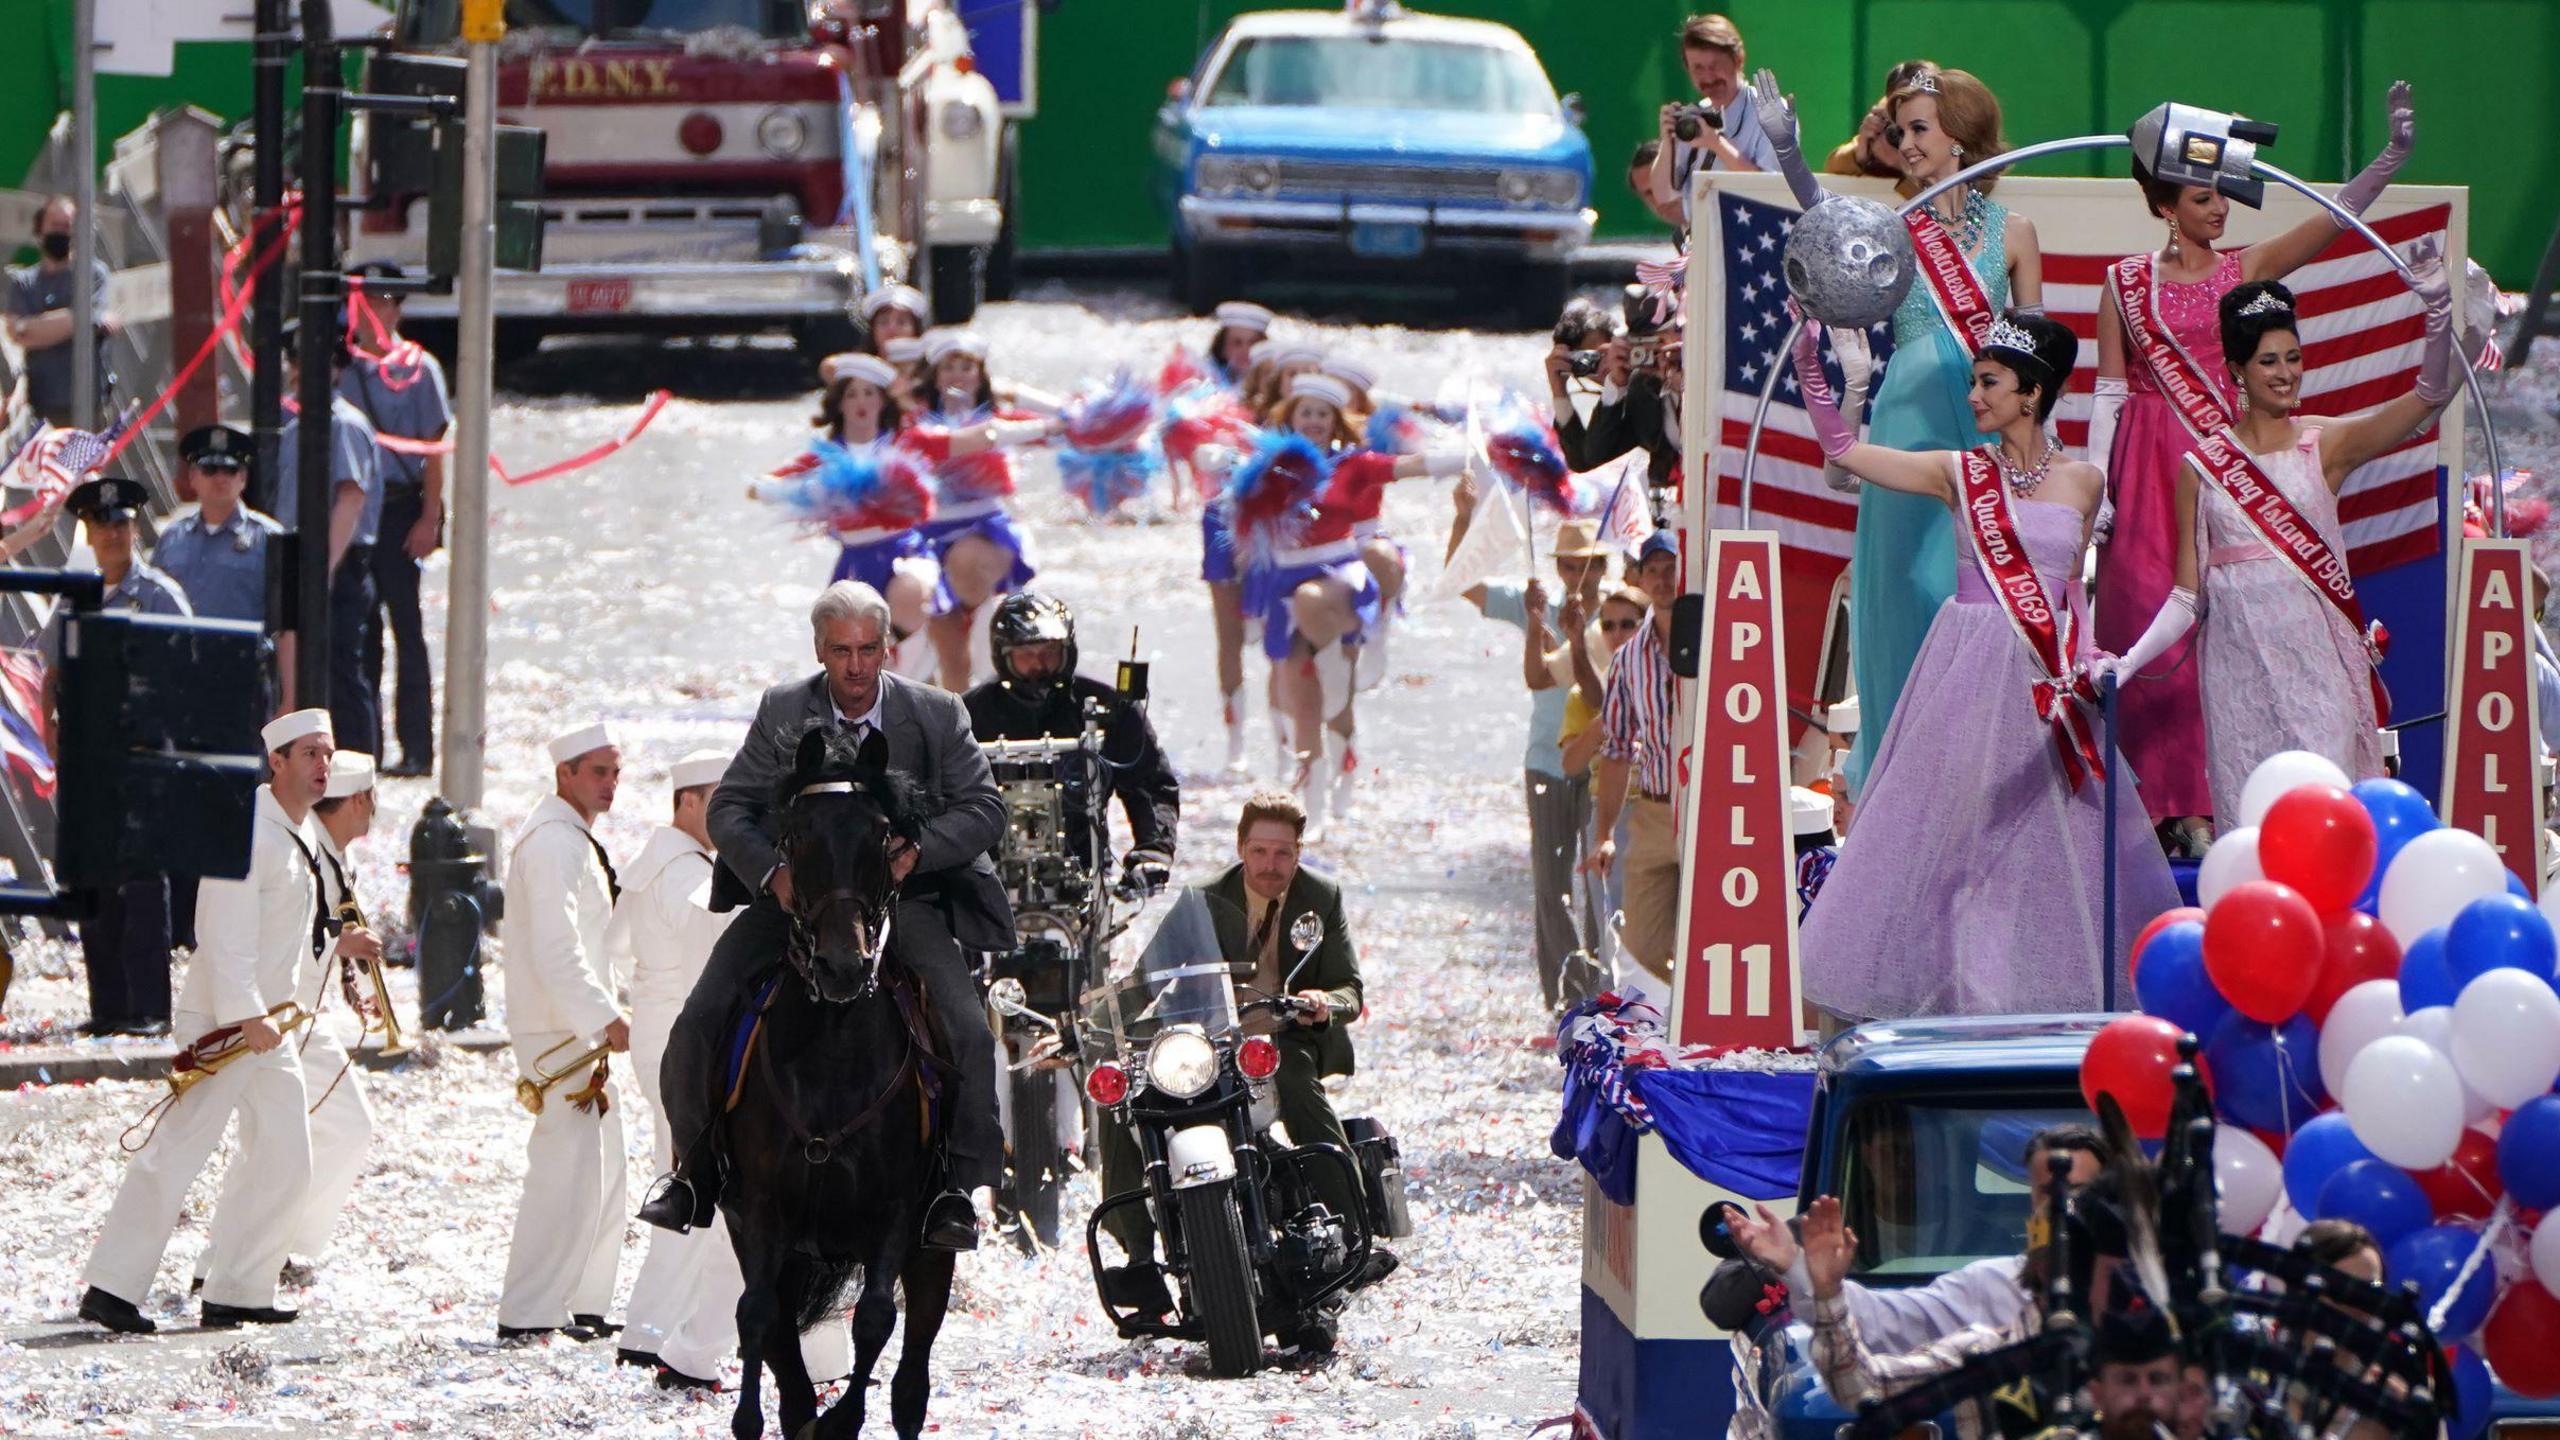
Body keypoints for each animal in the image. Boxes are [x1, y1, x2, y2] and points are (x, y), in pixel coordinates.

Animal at [727, 727, 957, 1434]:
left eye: (882, 836)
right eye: (797, 835)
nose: (842, 966)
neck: (831, 1050)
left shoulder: (895, 1213)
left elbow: (876, 1320)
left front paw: (842, 1420)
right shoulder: (762, 1212)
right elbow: (757, 1318)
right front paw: (754, 1421)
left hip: (934, 1250)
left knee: (911, 1381)